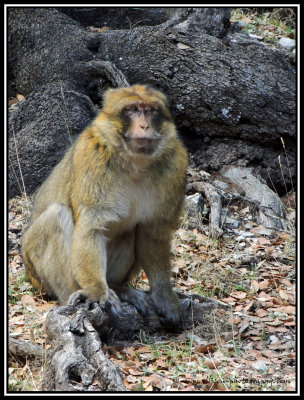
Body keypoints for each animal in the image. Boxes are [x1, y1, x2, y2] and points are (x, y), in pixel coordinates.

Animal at [22, 85, 188, 324]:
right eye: (133, 109)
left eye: (151, 110)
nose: (145, 125)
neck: (135, 164)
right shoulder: (92, 157)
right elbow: (91, 229)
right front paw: (98, 292)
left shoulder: (175, 165)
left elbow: (151, 234)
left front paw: (164, 296)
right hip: (37, 274)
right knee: (56, 216)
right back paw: (81, 292)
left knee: (131, 230)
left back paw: (118, 288)